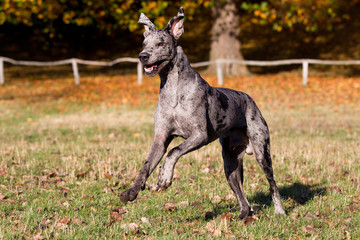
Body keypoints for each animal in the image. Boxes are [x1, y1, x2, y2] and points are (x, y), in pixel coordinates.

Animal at [119, 7, 286, 218]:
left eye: (161, 43)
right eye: (144, 44)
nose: (143, 56)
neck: (173, 89)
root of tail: (250, 100)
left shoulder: (200, 135)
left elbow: (174, 151)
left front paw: (164, 177)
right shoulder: (160, 138)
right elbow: (146, 165)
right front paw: (132, 191)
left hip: (262, 153)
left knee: (272, 184)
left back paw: (279, 211)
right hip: (230, 164)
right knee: (242, 195)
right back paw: (242, 216)